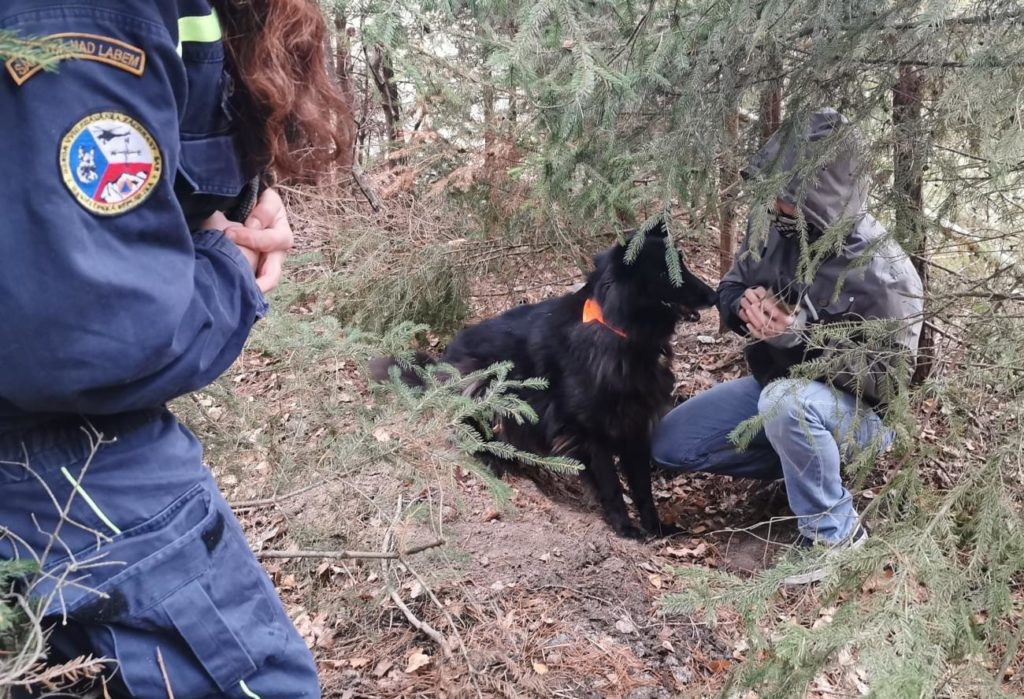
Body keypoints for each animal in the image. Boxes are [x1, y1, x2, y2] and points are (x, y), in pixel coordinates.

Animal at [372, 221, 716, 540]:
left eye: (682, 263)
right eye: (667, 272)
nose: (714, 296)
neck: (617, 329)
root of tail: (443, 359)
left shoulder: (635, 426)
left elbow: (643, 489)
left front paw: (655, 529)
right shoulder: (590, 433)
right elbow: (611, 485)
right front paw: (624, 527)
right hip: (482, 383)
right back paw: (490, 456)